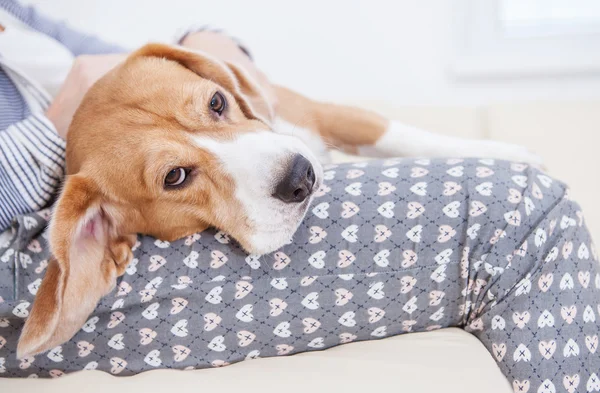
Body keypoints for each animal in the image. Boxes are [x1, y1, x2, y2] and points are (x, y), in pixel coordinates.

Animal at [16, 35, 540, 356]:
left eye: (217, 102)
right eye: (175, 177)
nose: (300, 176)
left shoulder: (322, 115)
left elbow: (404, 135)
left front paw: (508, 152)